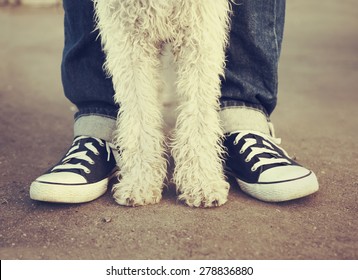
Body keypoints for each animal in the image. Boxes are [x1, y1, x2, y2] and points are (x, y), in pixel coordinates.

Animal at [93, 0, 232, 206]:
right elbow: (140, 115)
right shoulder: (129, 37)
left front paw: (201, 182)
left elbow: (198, 115)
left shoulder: (199, 31)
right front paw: (140, 181)